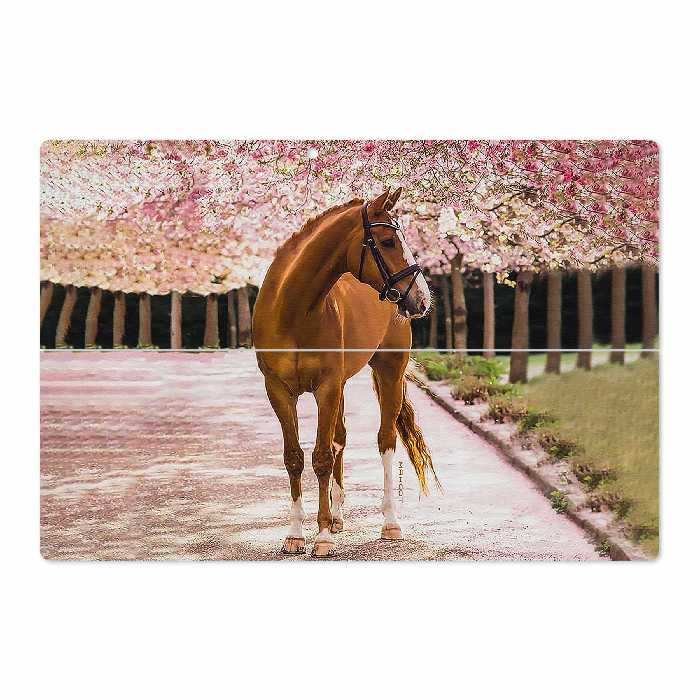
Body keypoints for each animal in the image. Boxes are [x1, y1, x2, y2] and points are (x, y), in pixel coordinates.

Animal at [253, 188, 439, 557]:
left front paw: (322, 537)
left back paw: (389, 522)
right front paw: (296, 534)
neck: (293, 310)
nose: (422, 299)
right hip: (340, 386)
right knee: (340, 437)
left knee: (385, 440)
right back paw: (338, 516)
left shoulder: (325, 387)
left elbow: (322, 457)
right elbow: (294, 457)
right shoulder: (279, 391)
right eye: (387, 241)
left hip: (389, 371)